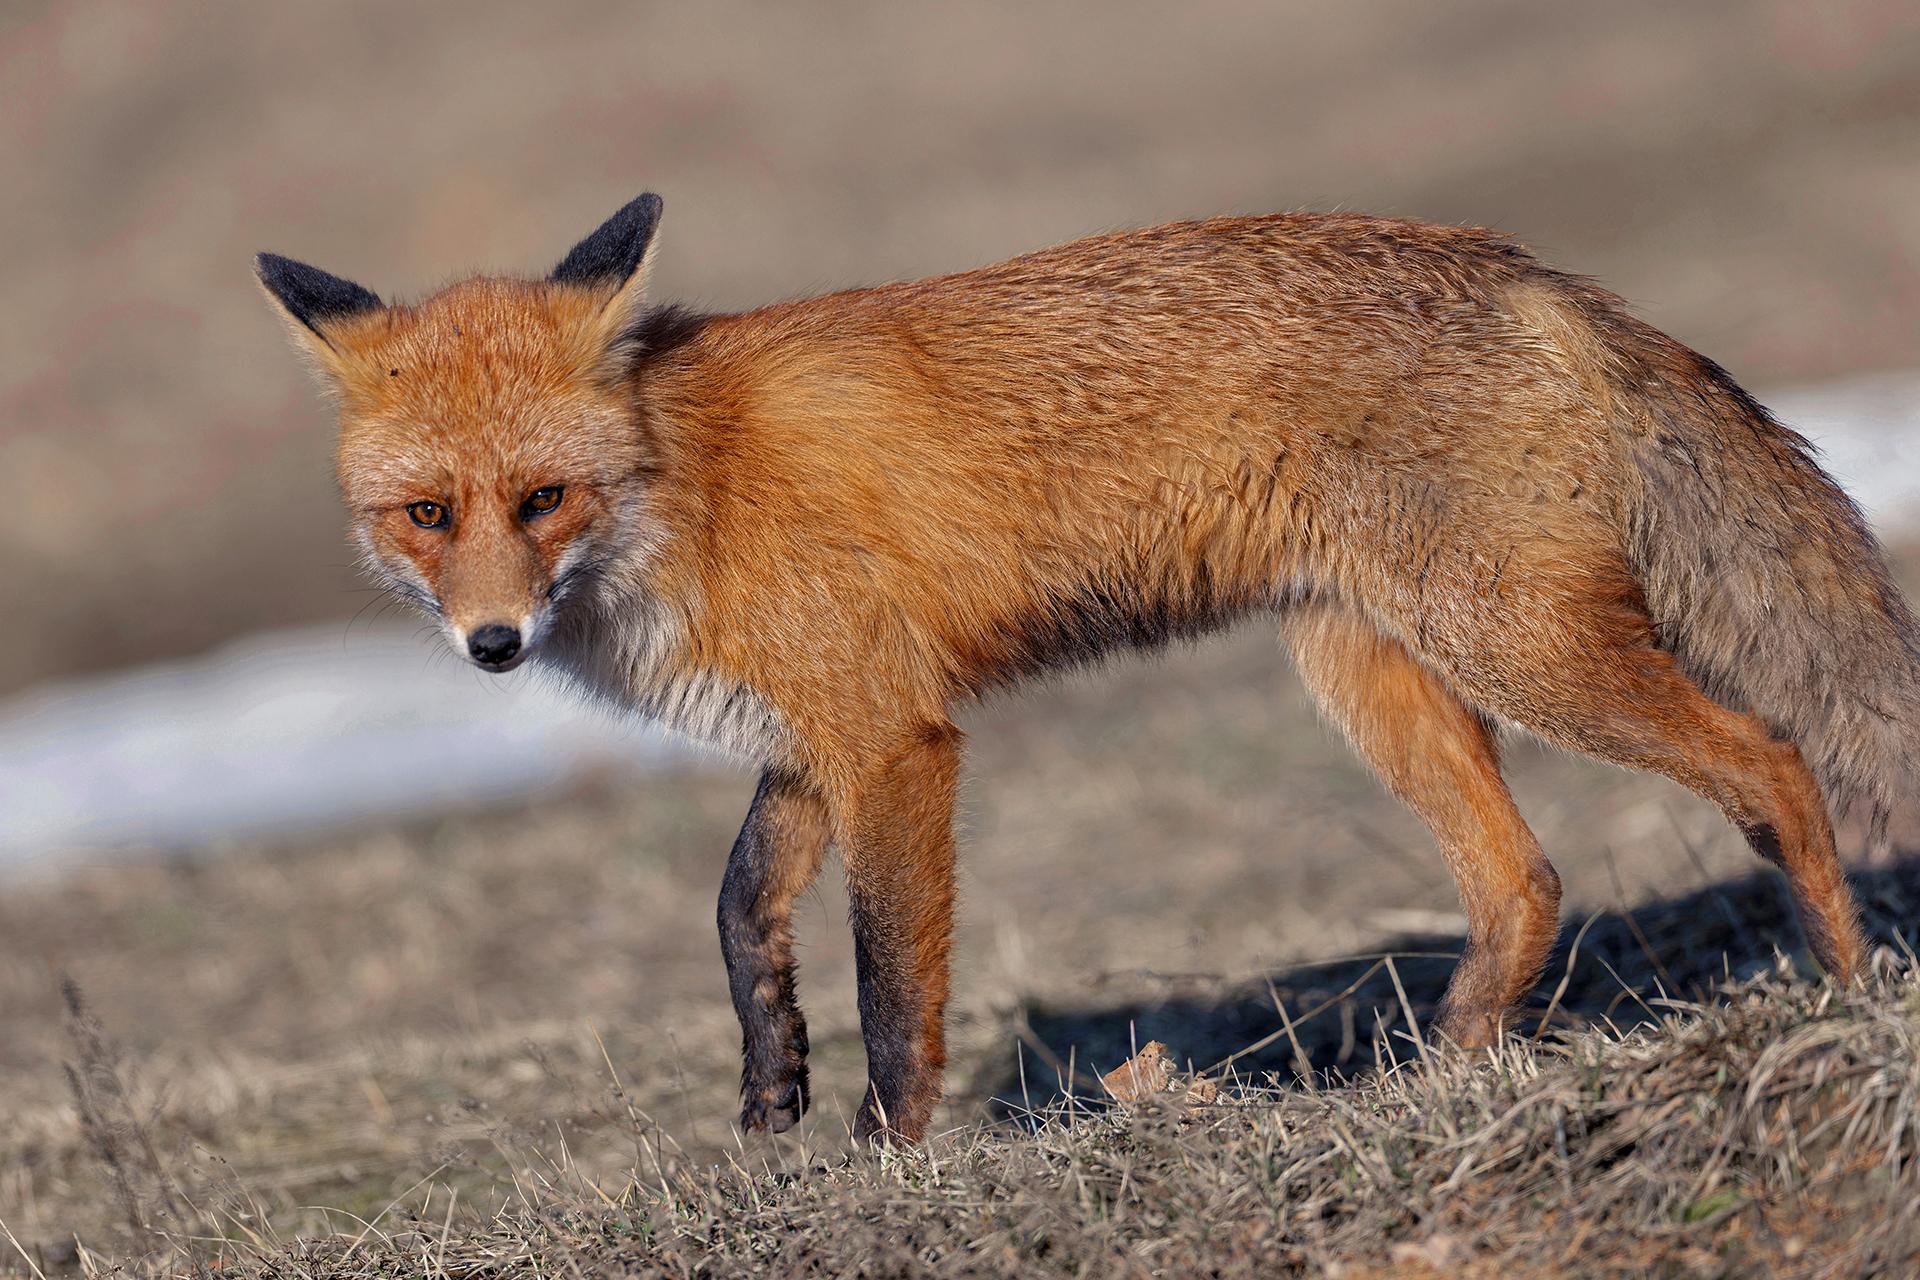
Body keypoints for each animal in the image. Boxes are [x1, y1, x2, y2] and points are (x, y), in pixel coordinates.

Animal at [258, 192, 1920, 1144]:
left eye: (542, 499)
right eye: (427, 514)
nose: (490, 645)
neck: (683, 483)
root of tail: (1527, 271)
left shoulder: (897, 744)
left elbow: (893, 983)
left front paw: (888, 1163)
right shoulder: (819, 732)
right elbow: (737, 909)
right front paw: (770, 1082)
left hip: (1520, 649)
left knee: (1777, 763)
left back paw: (1846, 991)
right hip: (1370, 674)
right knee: (1526, 881)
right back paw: (1438, 1079)